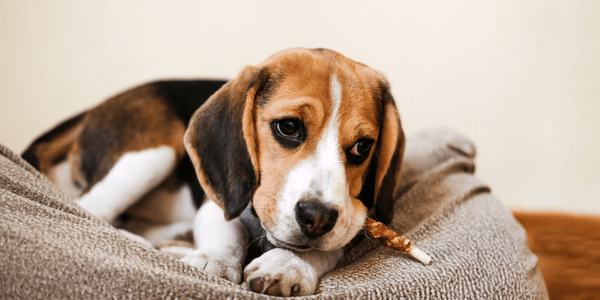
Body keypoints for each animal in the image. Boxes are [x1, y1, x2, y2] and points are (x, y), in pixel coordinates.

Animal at [23, 47, 408, 296]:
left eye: (362, 147)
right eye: (288, 127)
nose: (316, 218)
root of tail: (92, 110)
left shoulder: (356, 216)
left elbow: (328, 246)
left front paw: (287, 264)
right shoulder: (220, 201)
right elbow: (228, 231)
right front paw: (215, 261)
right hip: (155, 151)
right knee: (93, 211)